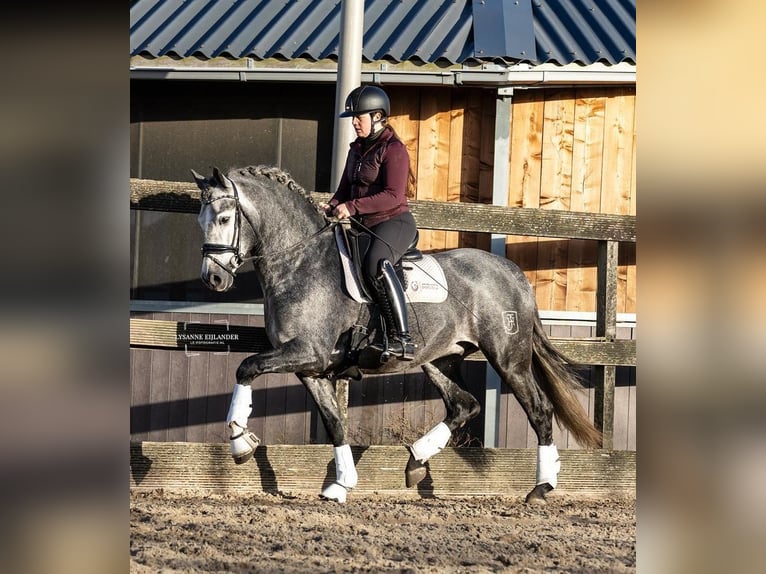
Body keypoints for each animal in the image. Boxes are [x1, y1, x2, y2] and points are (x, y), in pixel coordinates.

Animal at [191, 165, 602, 504]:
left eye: (225, 218)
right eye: (200, 220)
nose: (212, 279)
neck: (301, 264)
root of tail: (512, 272)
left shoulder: (309, 351)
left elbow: (246, 367)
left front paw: (239, 442)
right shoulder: (311, 369)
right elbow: (335, 423)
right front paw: (340, 486)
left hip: (508, 358)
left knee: (539, 410)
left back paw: (541, 487)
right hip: (439, 359)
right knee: (464, 404)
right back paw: (417, 459)